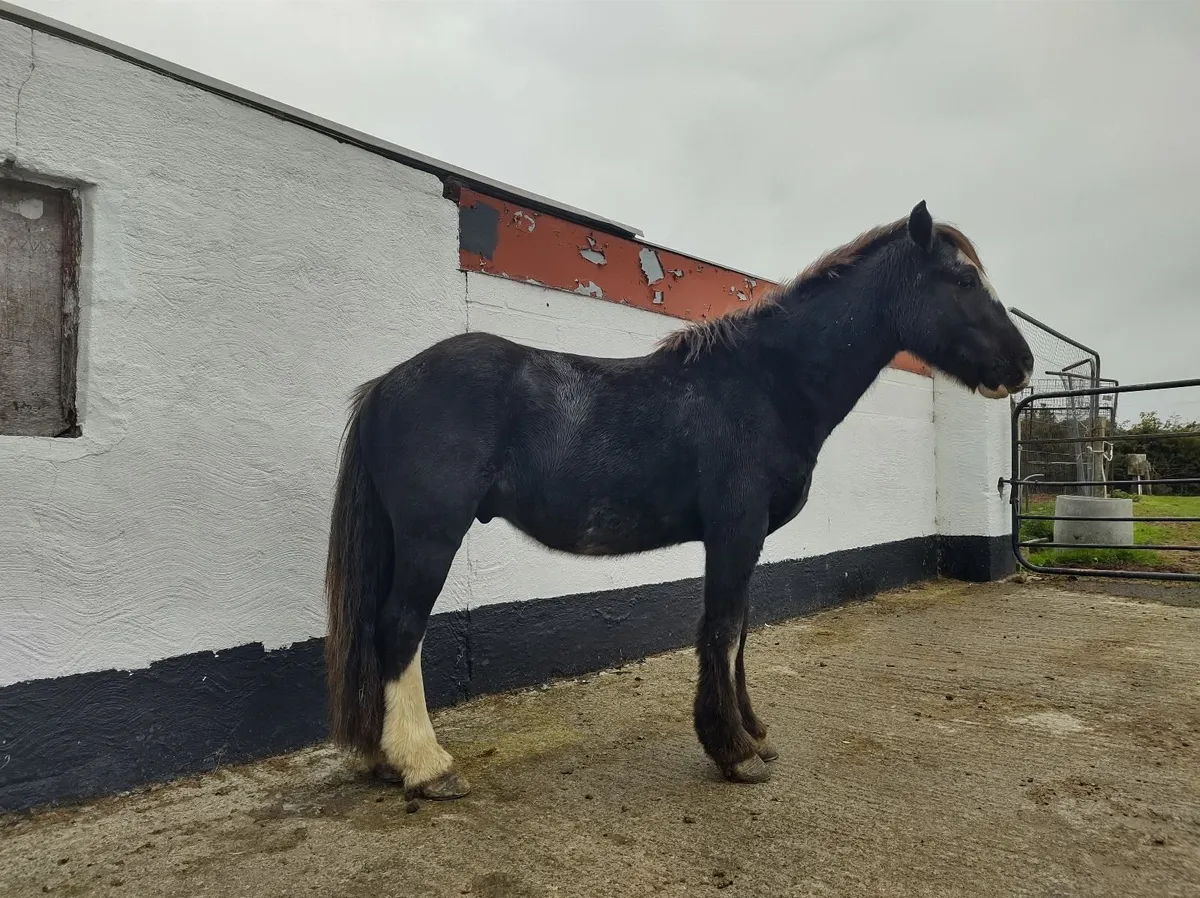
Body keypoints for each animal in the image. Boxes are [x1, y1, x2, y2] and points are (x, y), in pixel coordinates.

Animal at [323, 200, 1035, 800]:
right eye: (962, 280)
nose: (1022, 365)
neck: (766, 384)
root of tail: (387, 385)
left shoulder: (745, 539)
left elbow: (739, 631)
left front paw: (753, 735)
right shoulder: (735, 530)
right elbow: (722, 629)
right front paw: (734, 751)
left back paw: (387, 759)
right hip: (431, 536)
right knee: (400, 628)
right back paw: (426, 766)